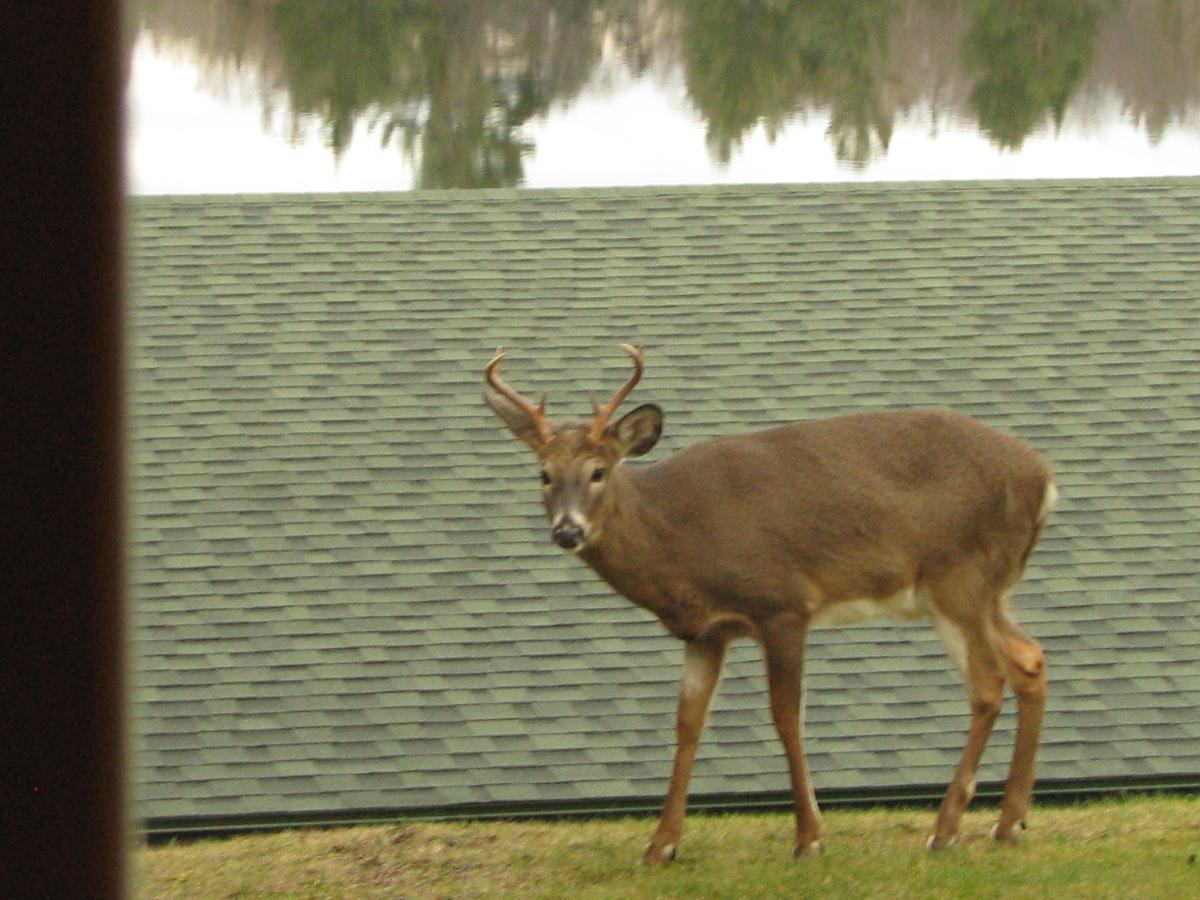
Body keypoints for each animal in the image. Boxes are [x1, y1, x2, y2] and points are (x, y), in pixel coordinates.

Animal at [482, 340, 1056, 864]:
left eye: (598, 470)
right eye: (543, 474)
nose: (567, 531)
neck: (677, 538)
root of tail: (1044, 477)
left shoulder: (782, 604)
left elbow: (785, 716)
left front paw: (809, 836)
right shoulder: (706, 632)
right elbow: (687, 724)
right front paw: (661, 845)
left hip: (959, 577)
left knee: (988, 683)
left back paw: (946, 829)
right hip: (987, 590)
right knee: (1029, 660)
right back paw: (1009, 822)